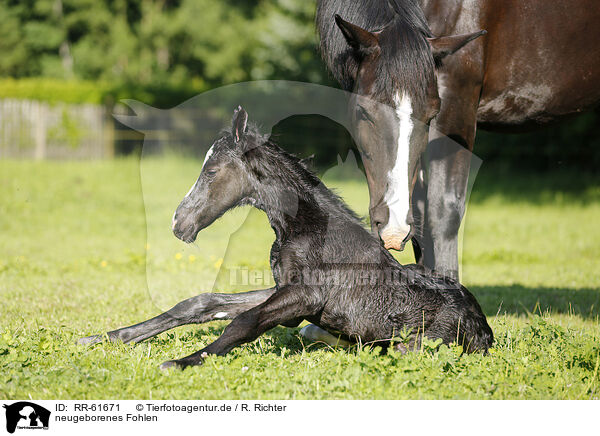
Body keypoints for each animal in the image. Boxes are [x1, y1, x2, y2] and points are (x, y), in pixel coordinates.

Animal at [78, 105, 492, 368]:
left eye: (211, 172)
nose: (179, 224)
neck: (306, 227)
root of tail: (485, 332)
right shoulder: (283, 288)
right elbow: (202, 303)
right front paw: (101, 338)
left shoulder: (306, 295)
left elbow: (242, 323)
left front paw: (183, 362)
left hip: (413, 346)